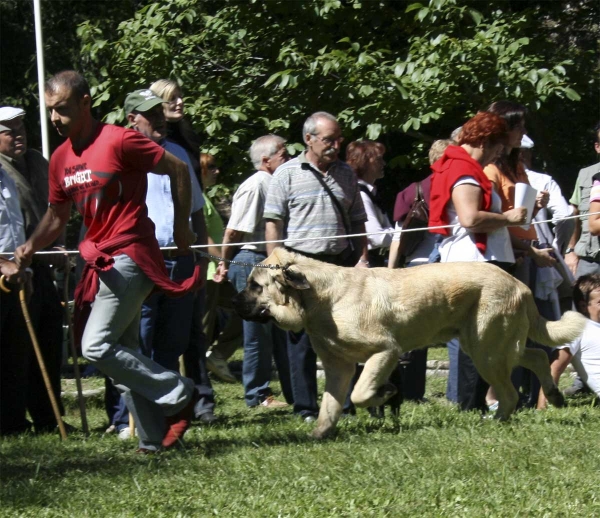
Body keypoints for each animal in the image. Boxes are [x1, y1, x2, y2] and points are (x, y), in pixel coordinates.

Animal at [231, 250, 584, 440]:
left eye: (255, 286)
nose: (234, 304)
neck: (319, 298)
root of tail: (521, 285)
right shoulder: (337, 366)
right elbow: (330, 406)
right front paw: (320, 434)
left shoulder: (385, 351)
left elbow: (360, 393)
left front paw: (385, 392)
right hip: (486, 345)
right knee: (537, 356)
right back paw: (553, 396)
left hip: (486, 348)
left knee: (511, 391)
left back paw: (498, 421)